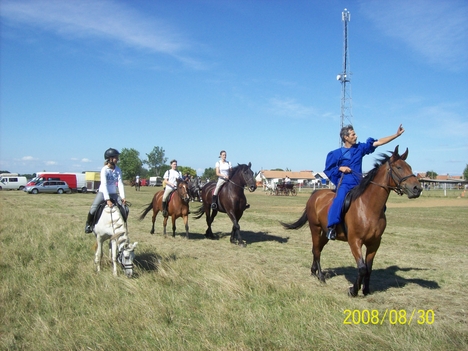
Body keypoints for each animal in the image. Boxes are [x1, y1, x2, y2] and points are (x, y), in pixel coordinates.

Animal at [282, 146, 424, 296]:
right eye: (398, 167)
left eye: (410, 167)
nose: (417, 188)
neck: (368, 207)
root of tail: (316, 194)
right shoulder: (355, 241)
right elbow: (362, 267)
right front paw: (353, 290)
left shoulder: (374, 243)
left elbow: (368, 268)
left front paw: (366, 289)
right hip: (315, 228)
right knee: (316, 250)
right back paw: (320, 276)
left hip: (325, 233)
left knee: (317, 248)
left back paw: (314, 271)